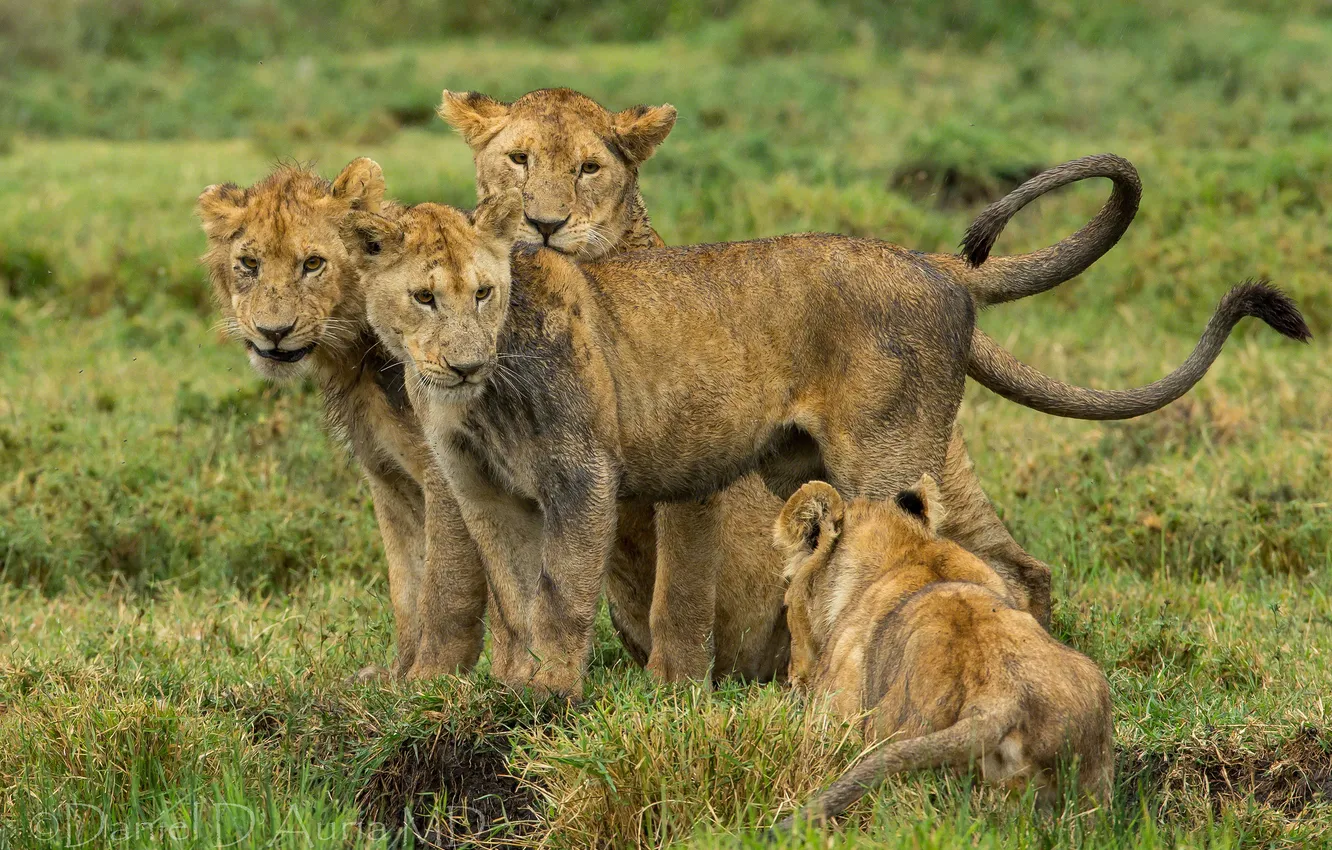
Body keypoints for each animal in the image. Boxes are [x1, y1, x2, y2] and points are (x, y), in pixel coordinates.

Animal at [346, 186, 1307, 697]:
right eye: (425, 297)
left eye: (484, 292)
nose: (464, 359)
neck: (478, 394)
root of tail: (931, 264)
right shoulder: (482, 491)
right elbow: (511, 596)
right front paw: (505, 699)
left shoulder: (583, 476)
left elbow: (559, 596)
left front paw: (550, 701)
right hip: (805, 462)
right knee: (1016, 565)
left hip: (887, 451)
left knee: (934, 560)